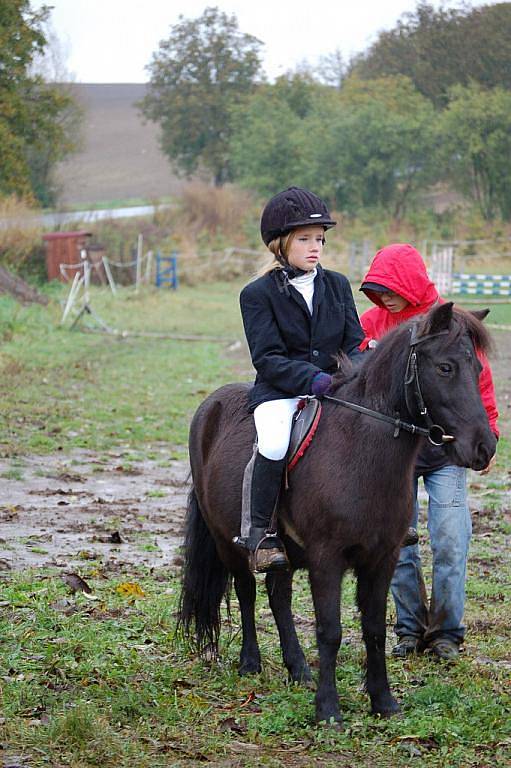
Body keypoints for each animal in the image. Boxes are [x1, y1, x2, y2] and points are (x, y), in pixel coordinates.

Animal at [179, 304, 496, 728]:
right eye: (445, 368)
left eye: (476, 369)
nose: (484, 447)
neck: (359, 448)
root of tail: (210, 405)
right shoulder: (326, 559)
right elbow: (329, 630)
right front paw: (328, 710)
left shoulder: (382, 558)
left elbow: (374, 628)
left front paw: (383, 702)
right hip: (227, 541)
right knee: (246, 592)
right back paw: (250, 662)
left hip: (283, 552)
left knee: (278, 598)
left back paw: (298, 670)